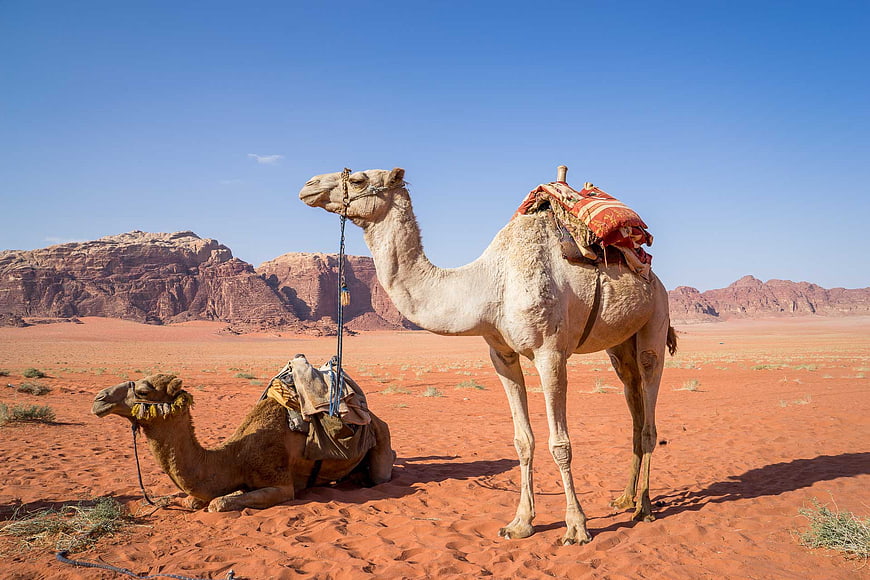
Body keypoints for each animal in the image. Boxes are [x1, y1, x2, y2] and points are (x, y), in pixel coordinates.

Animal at [92, 357, 394, 512]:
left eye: (143, 391)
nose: (99, 399)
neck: (235, 457)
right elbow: (195, 499)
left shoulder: (281, 484)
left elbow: (218, 503)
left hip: (381, 433)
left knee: (382, 470)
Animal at [299, 167, 677, 545]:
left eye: (358, 179)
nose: (308, 186)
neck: (489, 286)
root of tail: (652, 276)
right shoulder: (501, 355)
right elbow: (523, 441)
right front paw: (521, 523)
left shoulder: (550, 353)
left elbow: (560, 443)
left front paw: (576, 527)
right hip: (619, 345)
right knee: (633, 403)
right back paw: (624, 498)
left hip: (655, 320)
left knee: (649, 411)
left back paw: (644, 507)